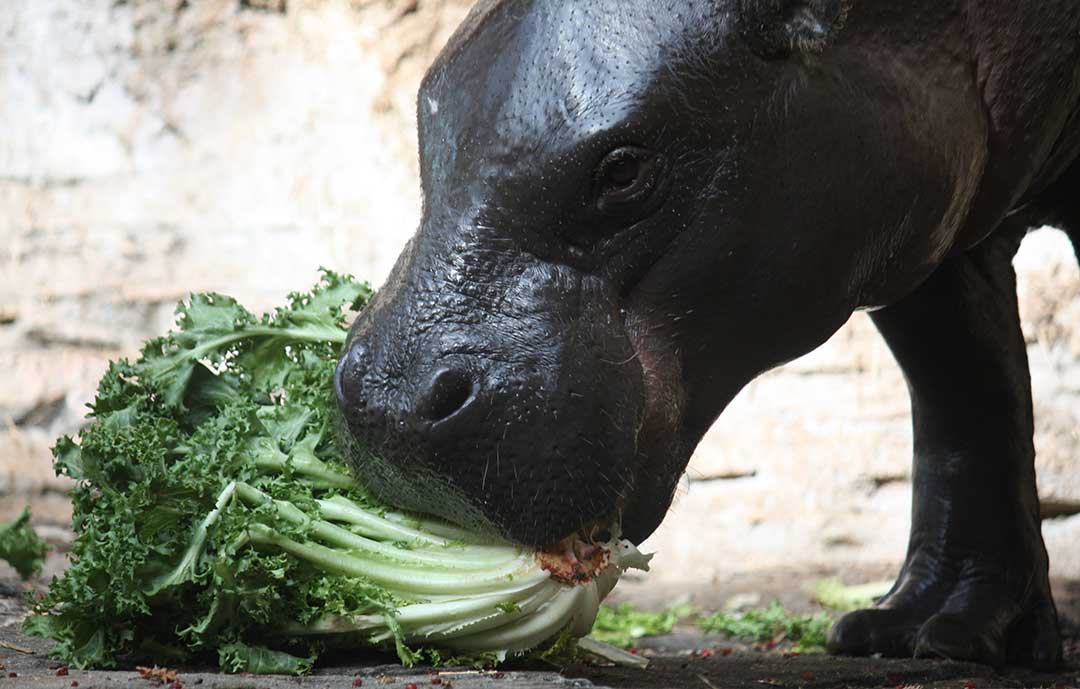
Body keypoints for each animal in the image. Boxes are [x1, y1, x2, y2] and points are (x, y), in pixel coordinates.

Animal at [336, 0, 1080, 673]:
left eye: (624, 170)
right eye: (426, 118)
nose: (391, 400)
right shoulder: (935, 227)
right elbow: (964, 389)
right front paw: (921, 629)